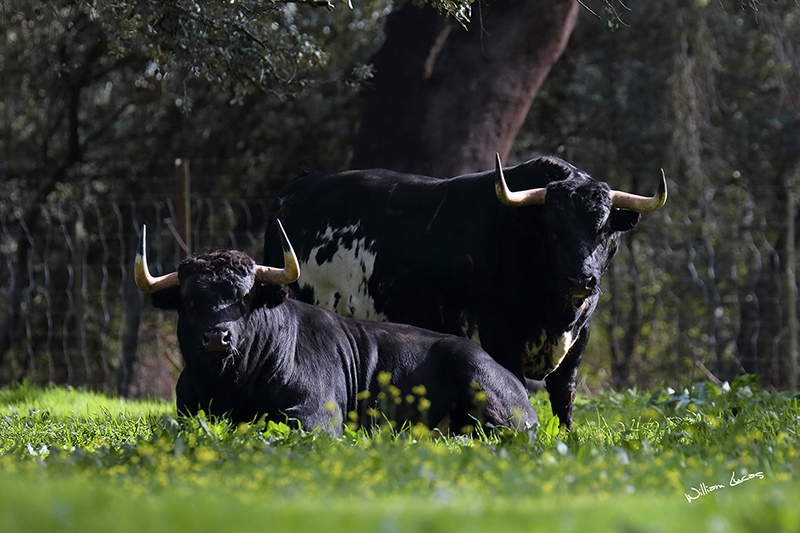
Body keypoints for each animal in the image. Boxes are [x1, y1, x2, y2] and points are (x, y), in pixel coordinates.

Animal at [264, 154, 668, 428]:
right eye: (554, 228)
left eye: (605, 229)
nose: (581, 279)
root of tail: (303, 184)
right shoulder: (500, 335)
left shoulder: (579, 339)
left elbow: (564, 399)